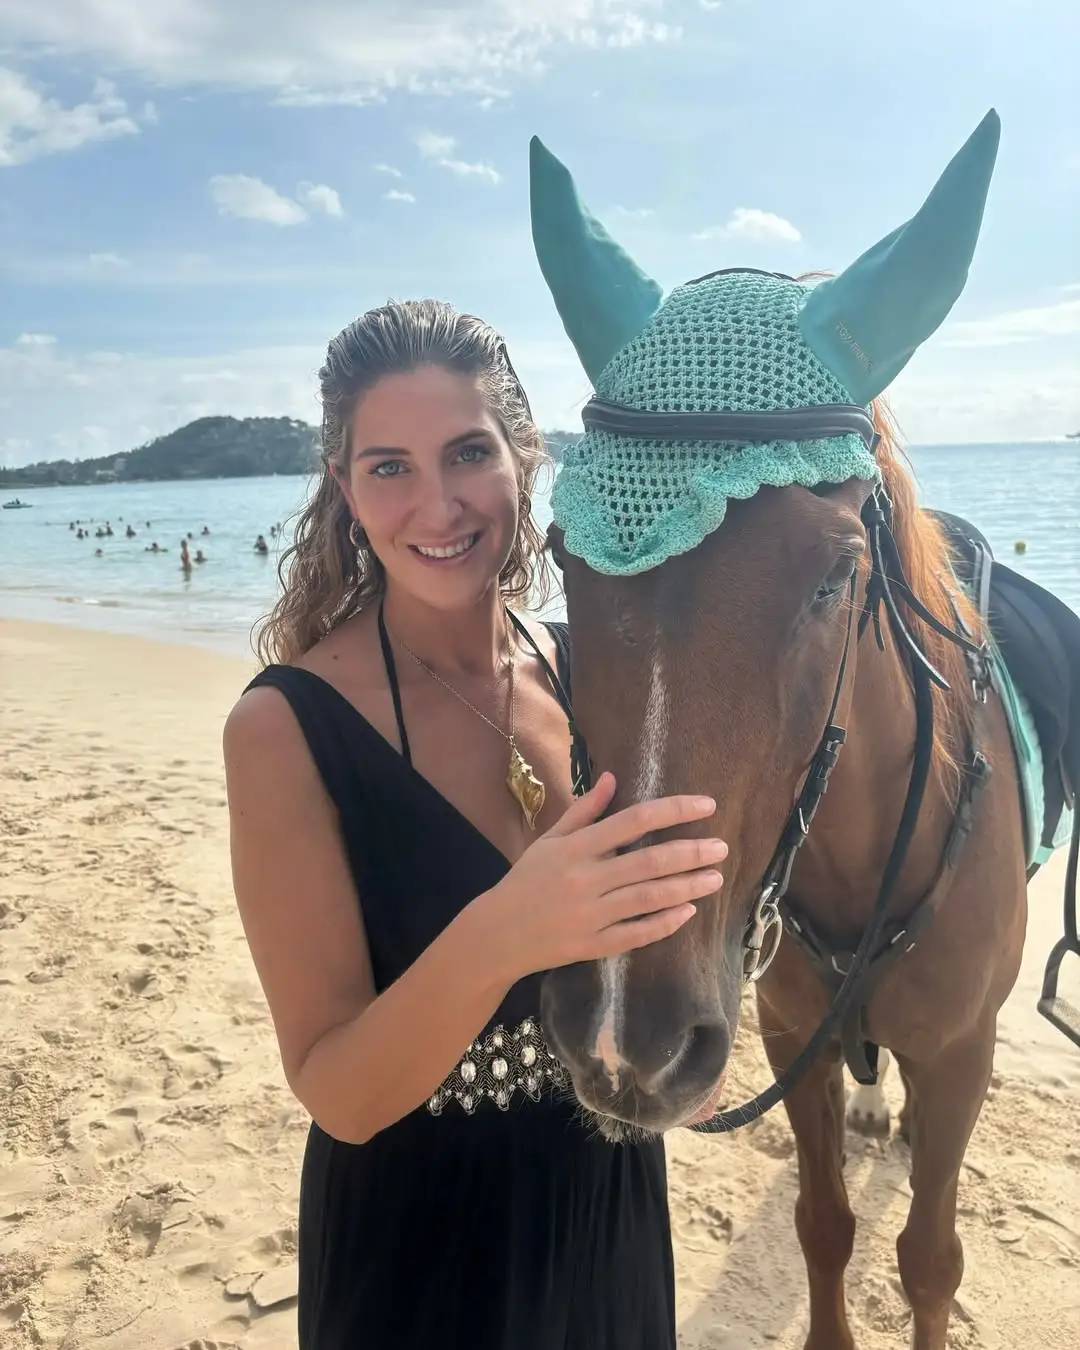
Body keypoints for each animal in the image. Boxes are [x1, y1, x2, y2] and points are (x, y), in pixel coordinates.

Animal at [526, 110, 1077, 1350]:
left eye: (835, 575)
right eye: (562, 553)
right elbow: (825, 1227)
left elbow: (928, 1260)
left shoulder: (962, 1058)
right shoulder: (787, 1040)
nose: (622, 1035)